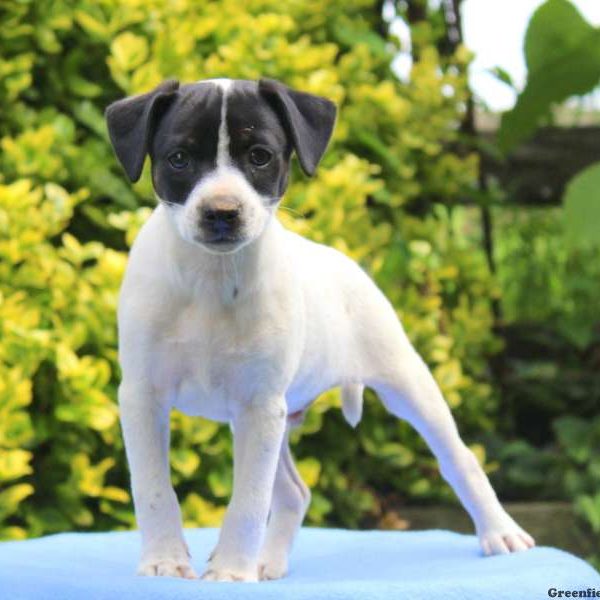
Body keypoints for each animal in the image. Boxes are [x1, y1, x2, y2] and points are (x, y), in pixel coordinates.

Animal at [105, 77, 536, 580]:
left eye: (260, 156)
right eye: (178, 158)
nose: (222, 212)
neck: (211, 278)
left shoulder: (259, 407)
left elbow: (248, 502)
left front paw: (230, 572)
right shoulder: (144, 396)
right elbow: (153, 489)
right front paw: (165, 562)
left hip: (404, 385)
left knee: (460, 459)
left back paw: (500, 532)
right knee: (294, 492)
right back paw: (268, 563)